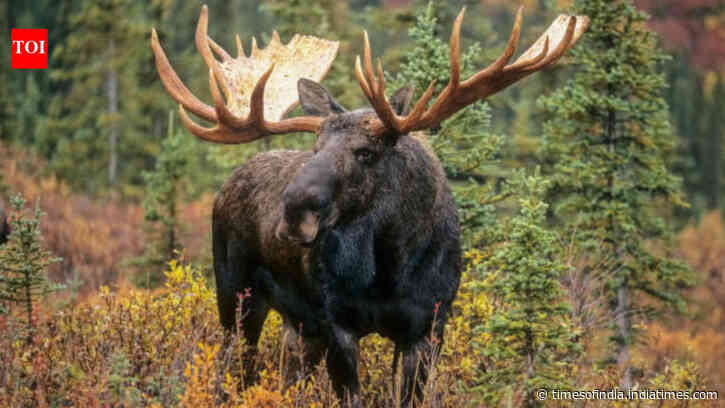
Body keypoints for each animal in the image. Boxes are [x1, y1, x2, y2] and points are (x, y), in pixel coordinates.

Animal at [150, 5, 588, 406]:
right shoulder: (336, 324)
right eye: (316, 147)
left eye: (365, 152)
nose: (292, 213)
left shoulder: (429, 326)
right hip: (236, 294)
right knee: (231, 372)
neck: (389, 267)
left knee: (287, 377)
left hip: (298, 325)